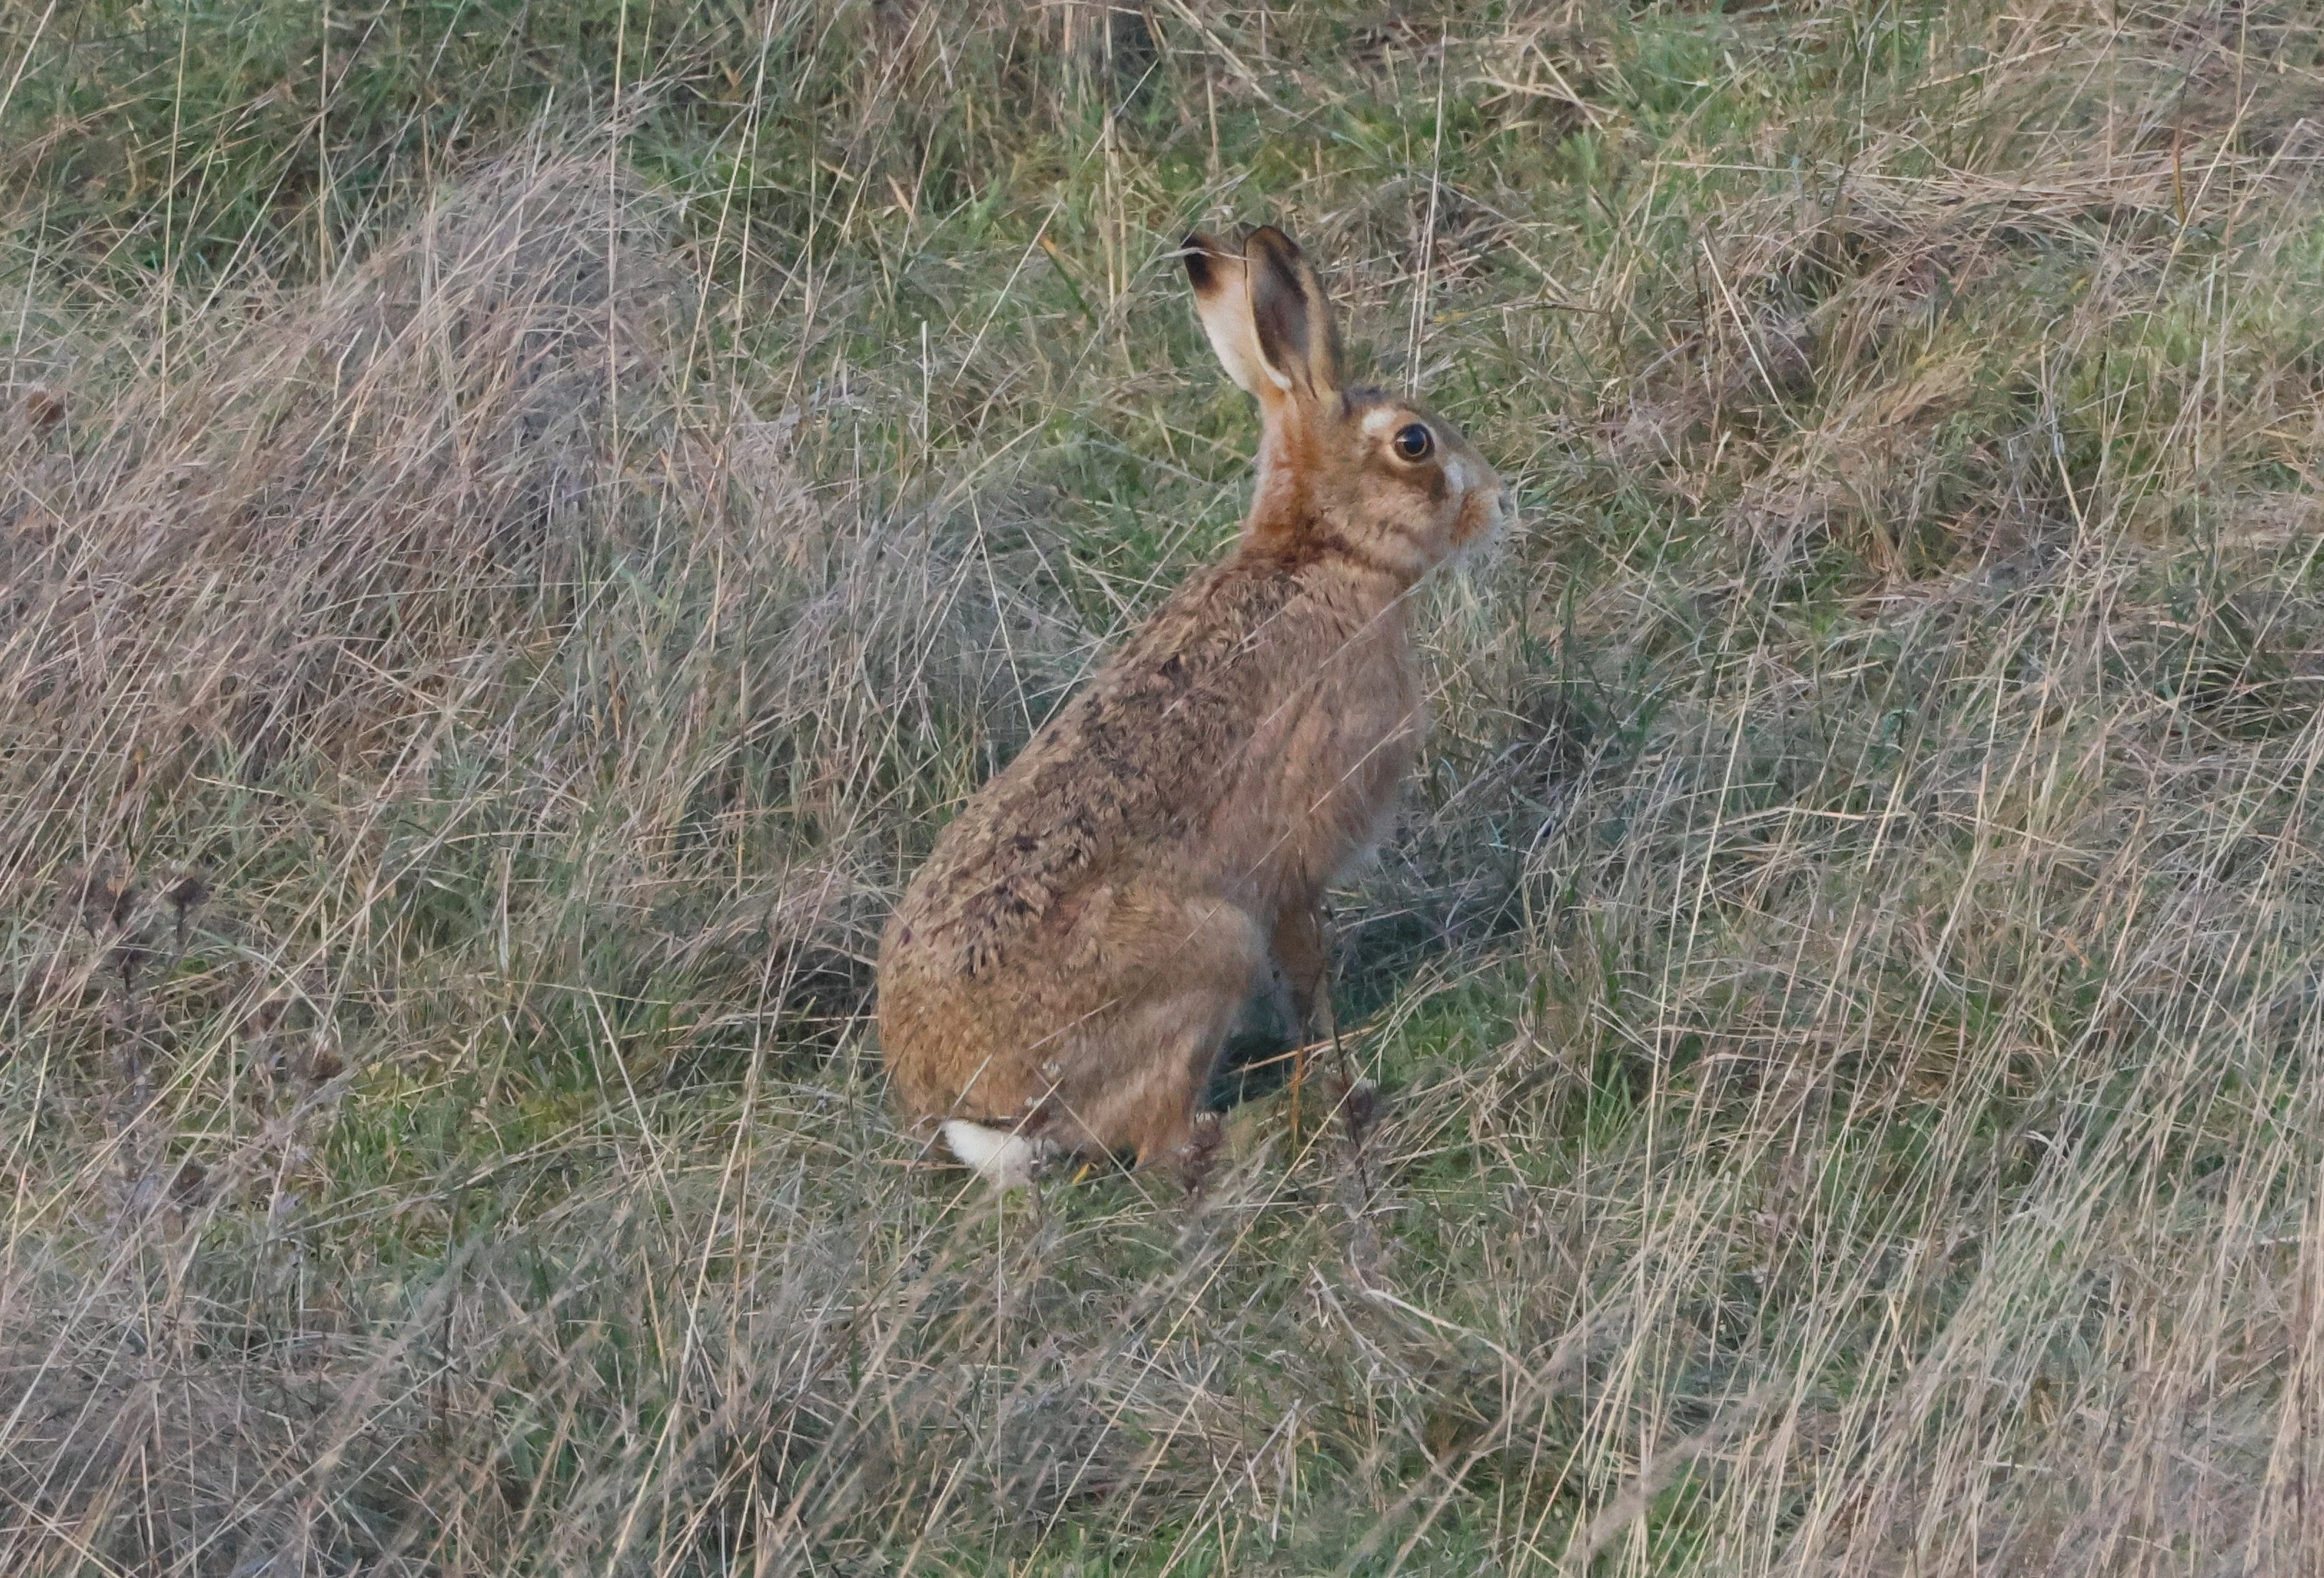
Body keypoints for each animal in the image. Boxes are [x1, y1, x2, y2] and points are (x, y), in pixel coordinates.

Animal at [877, 224, 1507, 1187]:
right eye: (1413, 442)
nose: (1495, 500)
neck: (1321, 552)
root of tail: (980, 1113)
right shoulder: (1294, 865)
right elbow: (1304, 965)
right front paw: (1329, 1048)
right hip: (1206, 950)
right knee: (1157, 1140)